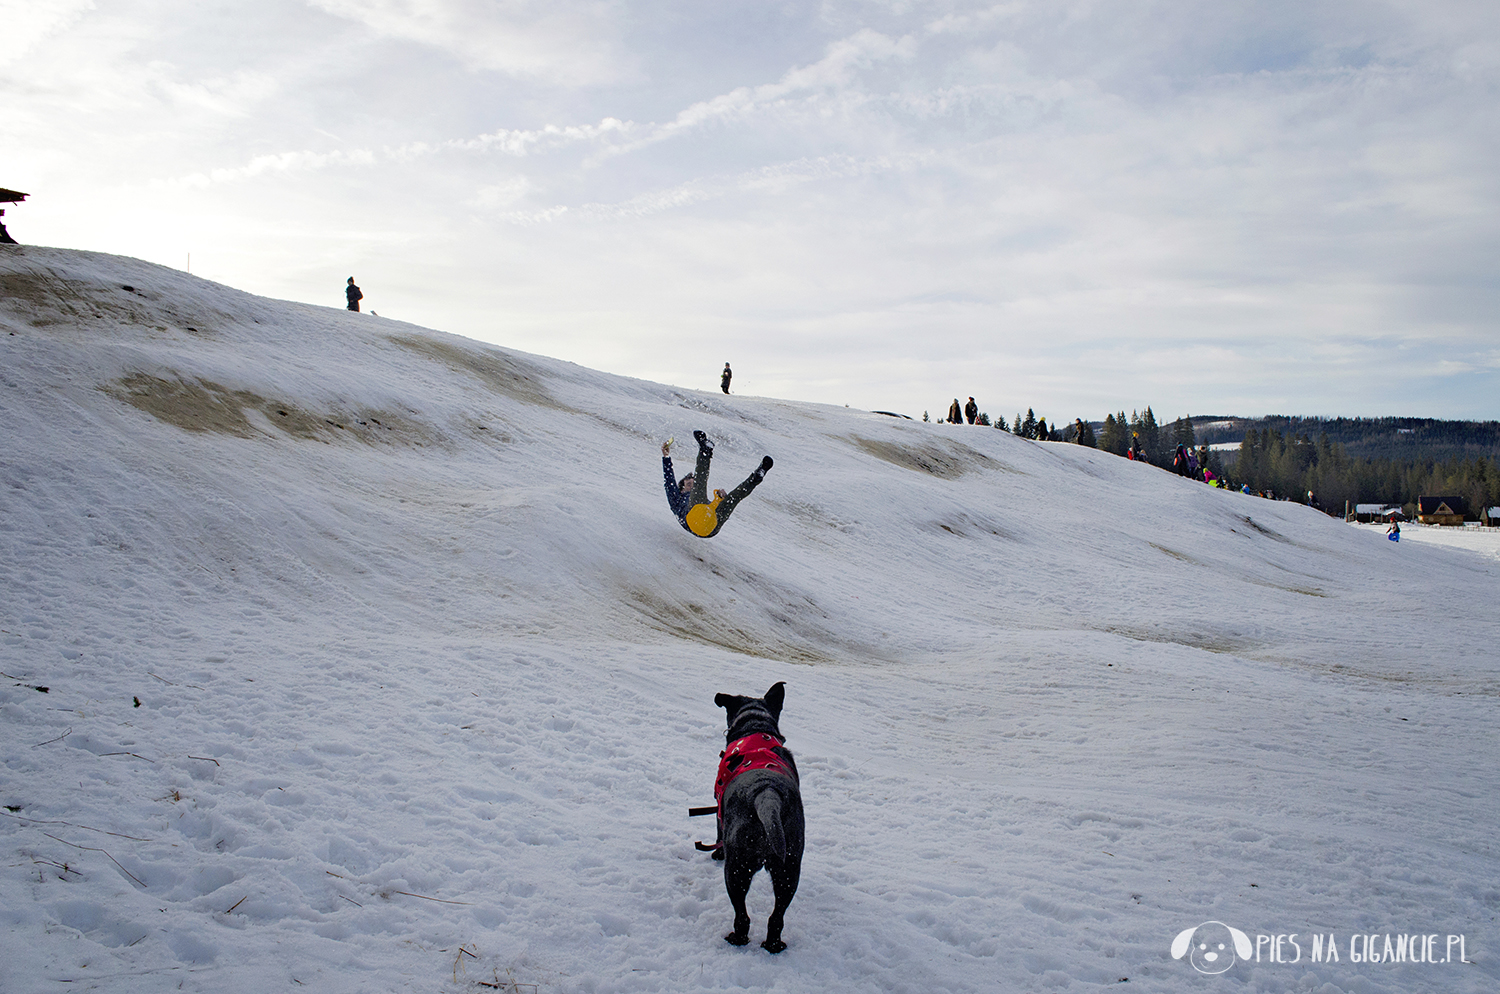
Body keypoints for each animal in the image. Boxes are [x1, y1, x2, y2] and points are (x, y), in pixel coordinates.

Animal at [711, 680, 804, 953]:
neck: (756, 727)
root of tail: (767, 793)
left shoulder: (718, 809)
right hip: (788, 870)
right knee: (777, 916)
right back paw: (773, 945)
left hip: (736, 869)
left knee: (742, 915)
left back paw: (736, 939)